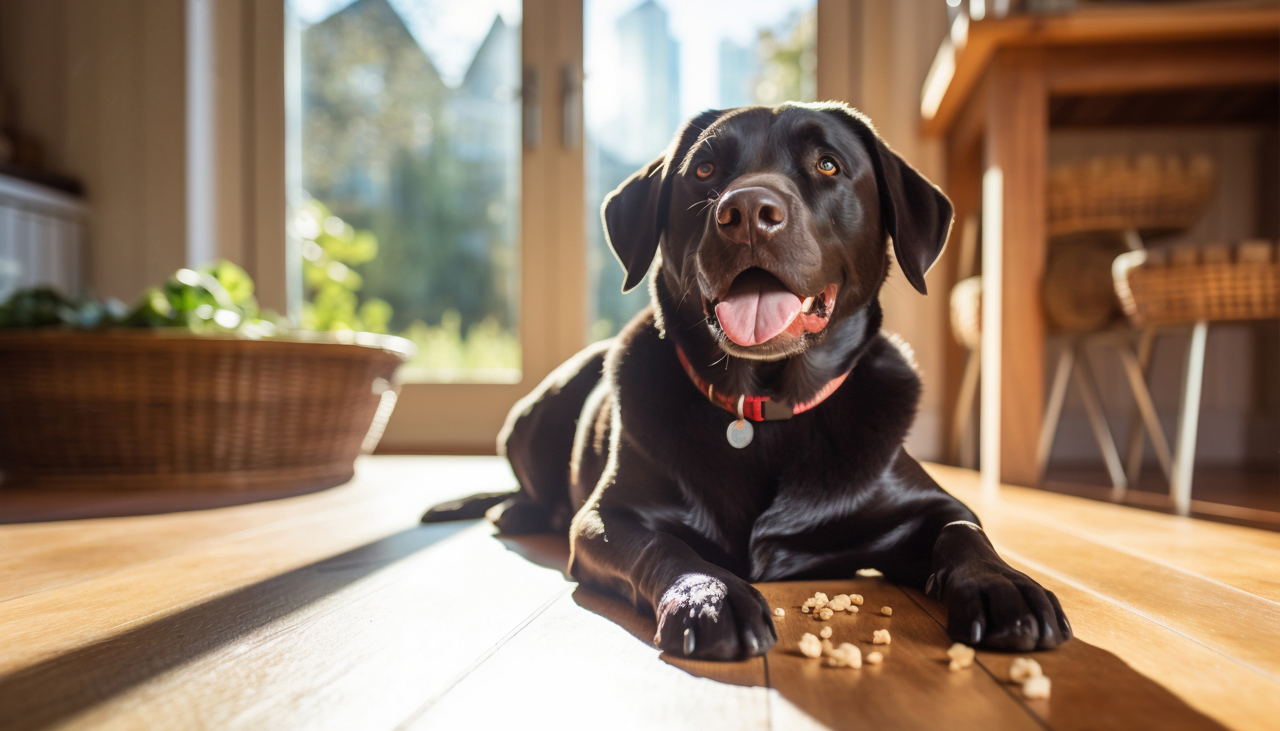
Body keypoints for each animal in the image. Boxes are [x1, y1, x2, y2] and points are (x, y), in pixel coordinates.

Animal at [427, 104, 1070, 665]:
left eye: (828, 165)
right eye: (704, 171)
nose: (748, 211)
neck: (763, 406)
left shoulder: (929, 505)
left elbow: (966, 532)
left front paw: (1004, 585)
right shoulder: (607, 516)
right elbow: (667, 545)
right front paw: (709, 597)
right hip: (537, 415)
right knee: (537, 489)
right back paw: (511, 509)